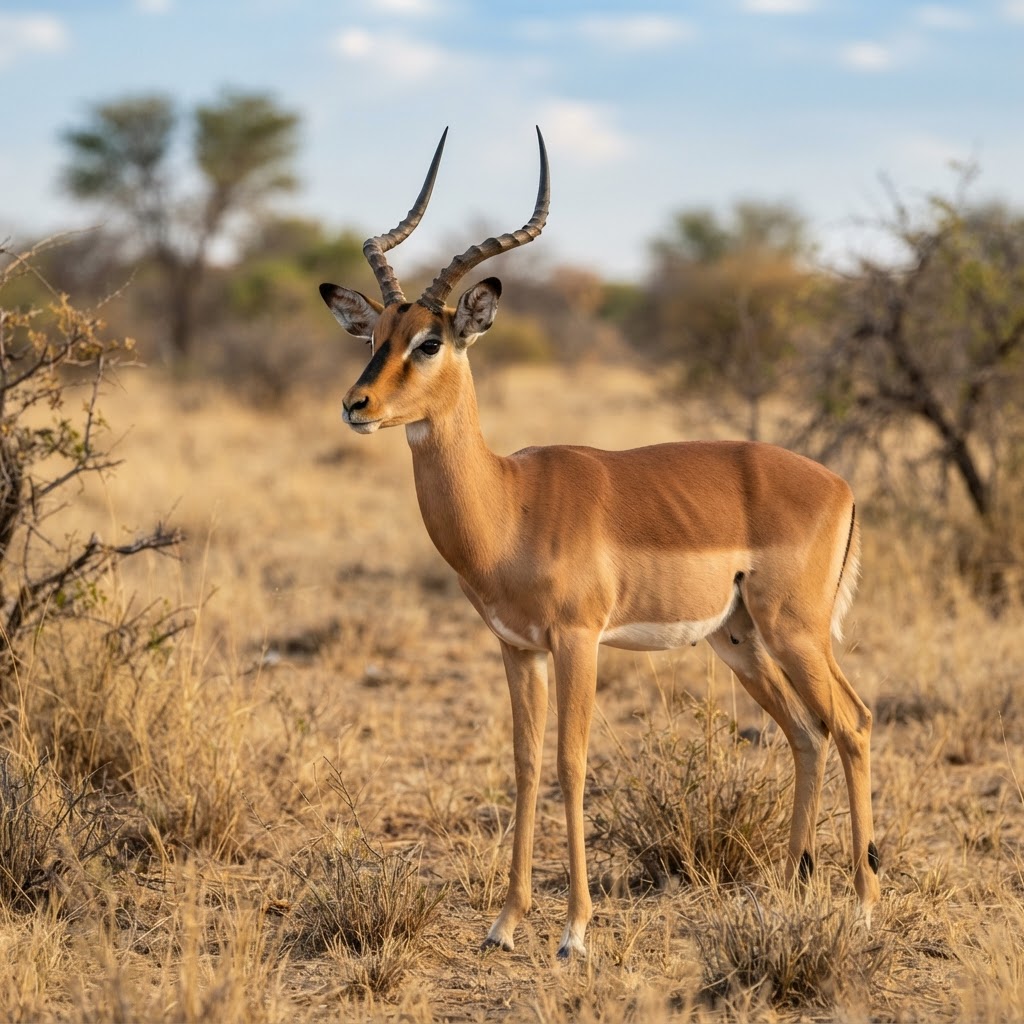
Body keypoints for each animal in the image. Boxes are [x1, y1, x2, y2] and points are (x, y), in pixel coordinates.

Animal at [320, 128, 881, 958]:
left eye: (429, 341)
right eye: (376, 335)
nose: (357, 405)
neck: (510, 502)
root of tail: (839, 485)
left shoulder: (578, 640)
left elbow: (572, 762)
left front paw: (575, 930)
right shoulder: (516, 646)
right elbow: (523, 764)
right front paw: (504, 923)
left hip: (796, 632)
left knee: (852, 723)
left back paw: (866, 904)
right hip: (741, 641)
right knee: (807, 735)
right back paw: (787, 888)